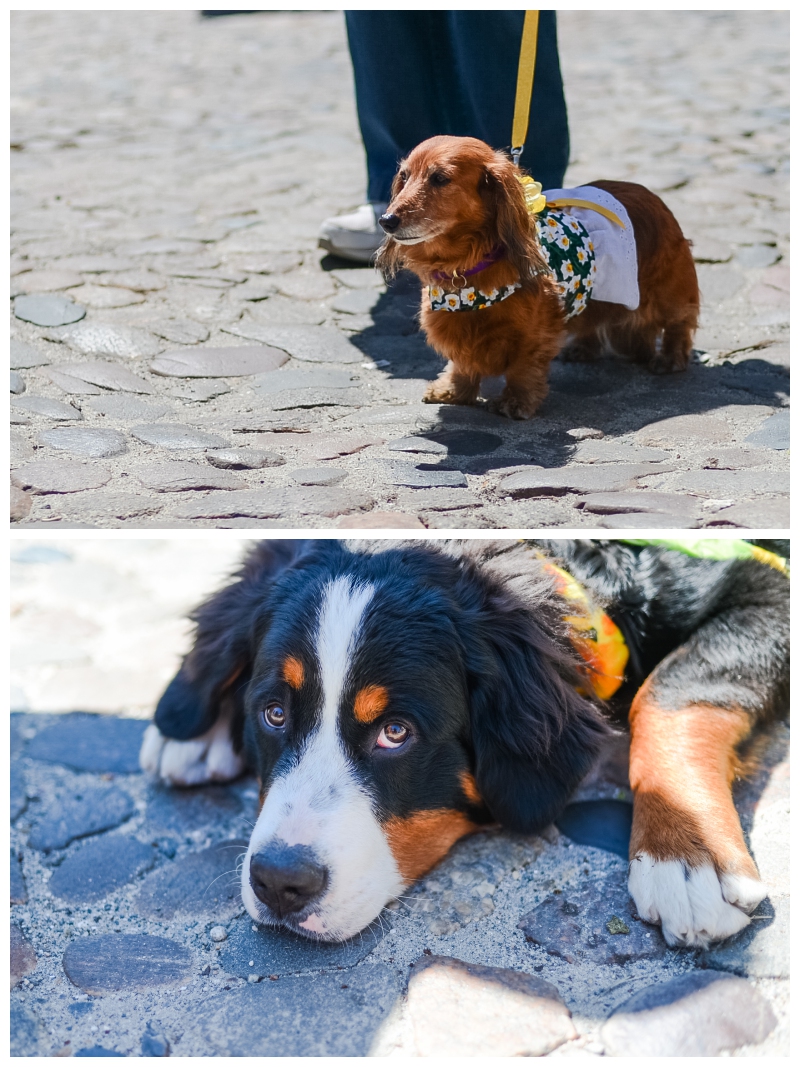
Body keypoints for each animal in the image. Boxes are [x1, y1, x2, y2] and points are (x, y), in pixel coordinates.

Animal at [139, 542, 789, 951]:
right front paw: (191, 718)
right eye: (273, 713)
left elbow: (670, 693)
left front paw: (686, 856)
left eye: (395, 733)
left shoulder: (763, 582)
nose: (278, 882)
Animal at [379, 133, 699, 416]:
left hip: (667, 291)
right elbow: (462, 365)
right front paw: (453, 392)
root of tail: (648, 194)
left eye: (440, 178)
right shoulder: (460, 332)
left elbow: (523, 370)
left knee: (679, 323)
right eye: (404, 176)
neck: (470, 266)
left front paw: (516, 403)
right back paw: (584, 349)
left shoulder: (533, 335)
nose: (386, 220)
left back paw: (670, 358)